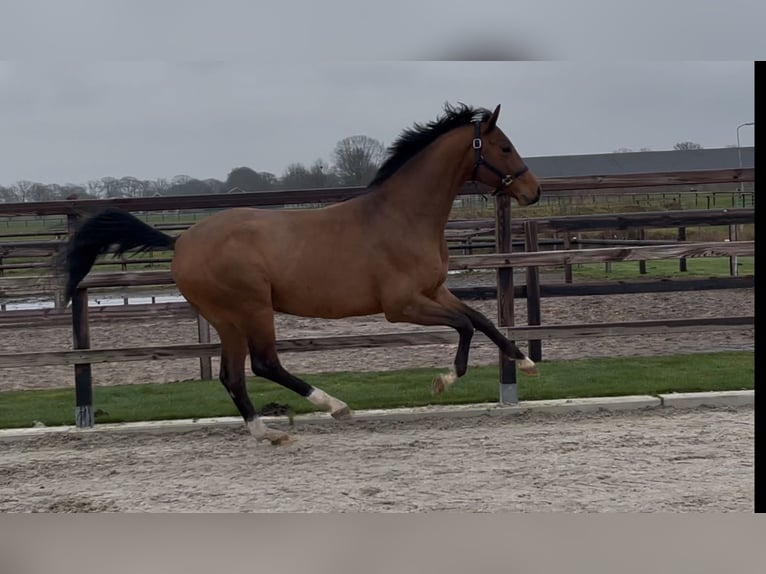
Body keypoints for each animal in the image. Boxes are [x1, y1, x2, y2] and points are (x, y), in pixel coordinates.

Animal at [63, 102, 544, 446]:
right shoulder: (402, 305)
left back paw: (267, 431)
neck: (401, 216)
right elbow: (464, 325)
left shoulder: (435, 290)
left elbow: (482, 320)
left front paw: (526, 361)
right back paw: (333, 405)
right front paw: (445, 380)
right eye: (504, 147)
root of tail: (180, 242)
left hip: (227, 319)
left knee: (232, 375)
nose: (533, 191)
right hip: (251, 308)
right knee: (264, 363)